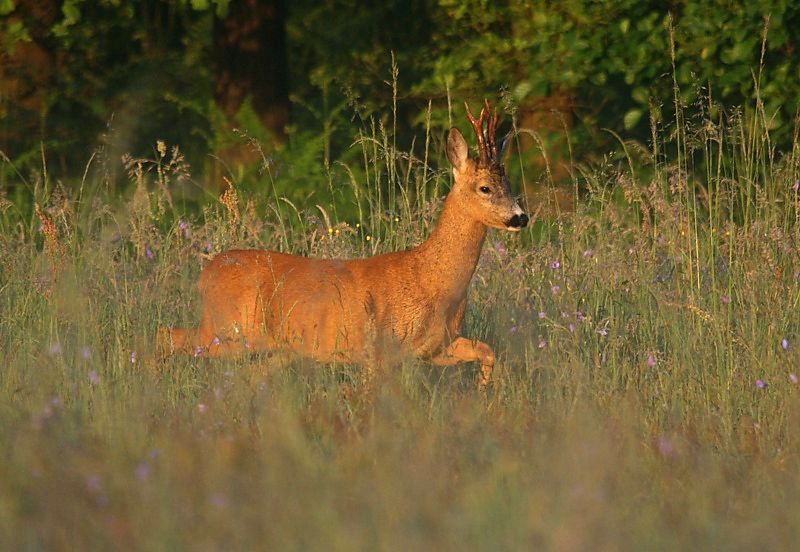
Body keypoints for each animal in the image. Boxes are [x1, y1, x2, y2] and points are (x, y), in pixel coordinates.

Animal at [159, 101, 528, 390]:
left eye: (509, 183)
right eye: (484, 187)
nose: (520, 217)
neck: (433, 280)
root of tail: (206, 271)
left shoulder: (438, 347)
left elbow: (488, 352)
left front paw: (484, 398)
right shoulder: (380, 348)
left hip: (272, 346)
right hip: (229, 329)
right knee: (165, 336)